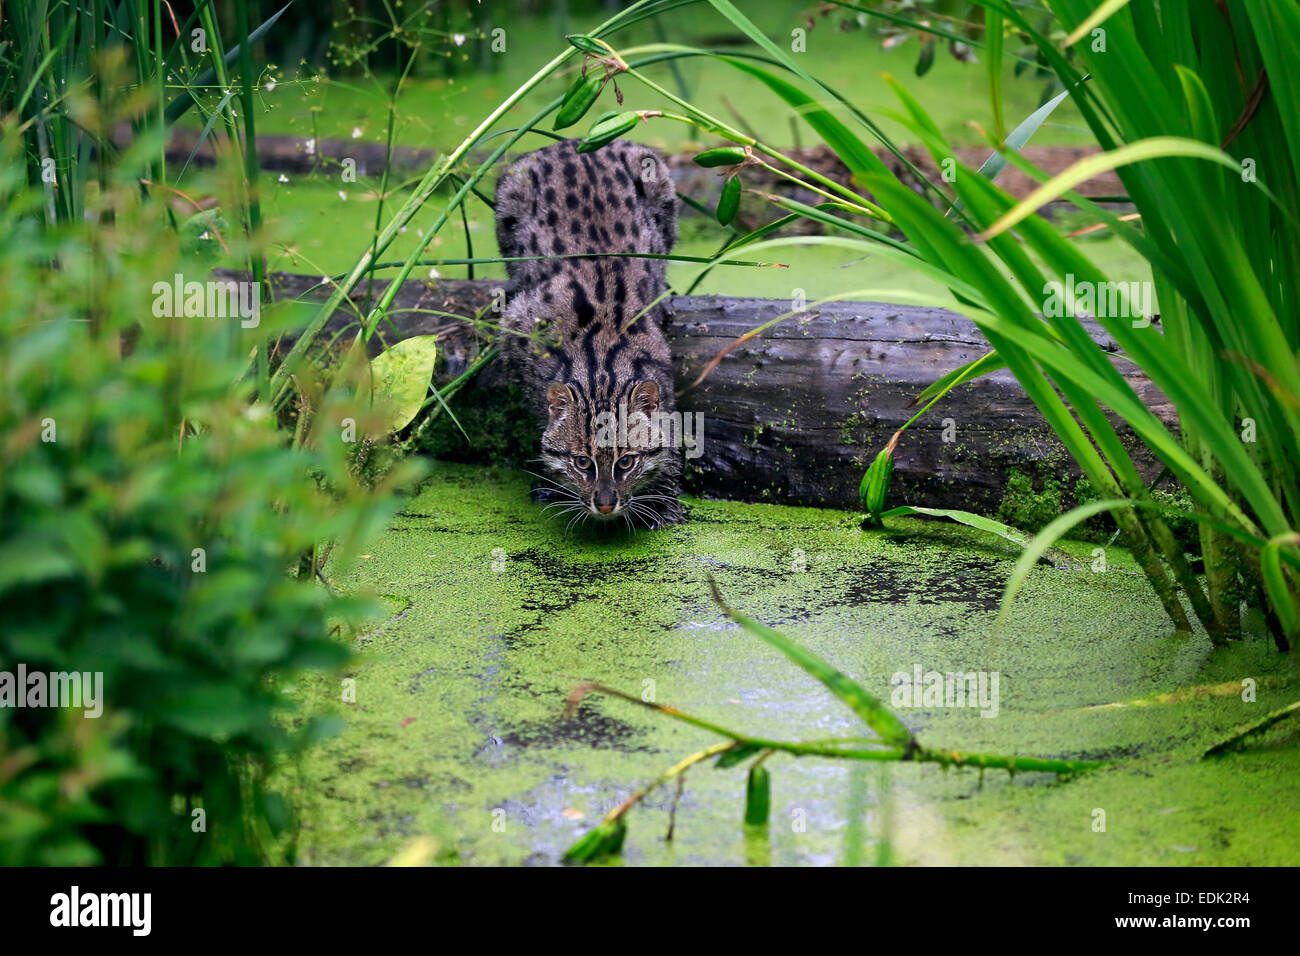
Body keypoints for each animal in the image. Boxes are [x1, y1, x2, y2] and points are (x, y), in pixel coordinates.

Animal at [491, 140, 686, 530]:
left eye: (626, 461)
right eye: (583, 462)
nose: (606, 505)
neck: (601, 366)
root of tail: (576, 143)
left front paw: (661, 497)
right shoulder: (516, 328)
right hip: (510, 193)